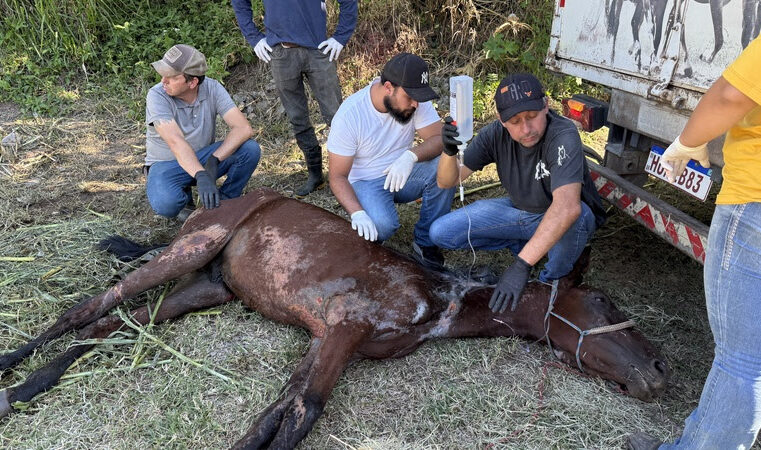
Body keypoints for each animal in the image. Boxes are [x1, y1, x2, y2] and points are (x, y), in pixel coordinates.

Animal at [0, 188, 669, 449]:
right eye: (607, 305)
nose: (659, 374)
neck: (436, 299)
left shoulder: (328, 342)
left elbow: (285, 413)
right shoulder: (342, 329)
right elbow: (300, 415)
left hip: (208, 287)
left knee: (115, 325)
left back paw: (30, 386)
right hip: (188, 251)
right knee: (89, 308)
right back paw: (11, 378)